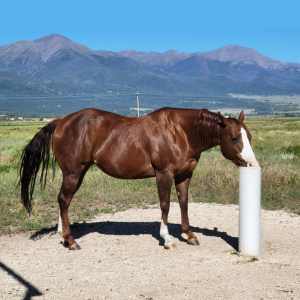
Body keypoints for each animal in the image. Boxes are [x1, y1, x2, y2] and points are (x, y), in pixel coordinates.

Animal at [19, 108, 258, 251]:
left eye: (249, 136)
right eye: (234, 138)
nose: (252, 165)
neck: (180, 132)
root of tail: (62, 121)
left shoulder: (184, 175)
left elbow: (183, 203)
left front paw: (189, 235)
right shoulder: (164, 173)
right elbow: (165, 205)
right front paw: (167, 239)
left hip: (79, 173)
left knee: (64, 201)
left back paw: (63, 235)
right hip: (73, 172)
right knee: (63, 199)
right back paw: (70, 240)